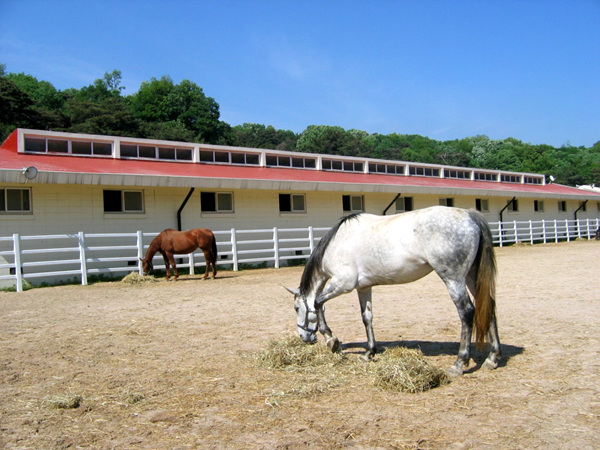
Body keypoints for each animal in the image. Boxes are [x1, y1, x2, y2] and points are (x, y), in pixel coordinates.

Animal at [288, 207, 500, 376]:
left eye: (296, 308)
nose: (304, 338)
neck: (338, 243)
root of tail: (470, 216)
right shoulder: (363, 287)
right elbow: (367, 317)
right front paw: (369, 352)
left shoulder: (343, 284)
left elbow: (318, 302)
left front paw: (331, 340)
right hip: (471, 277)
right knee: (488, 306)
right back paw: (493, 358)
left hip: (454, 280)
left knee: (467, 312)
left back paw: (459, 363)